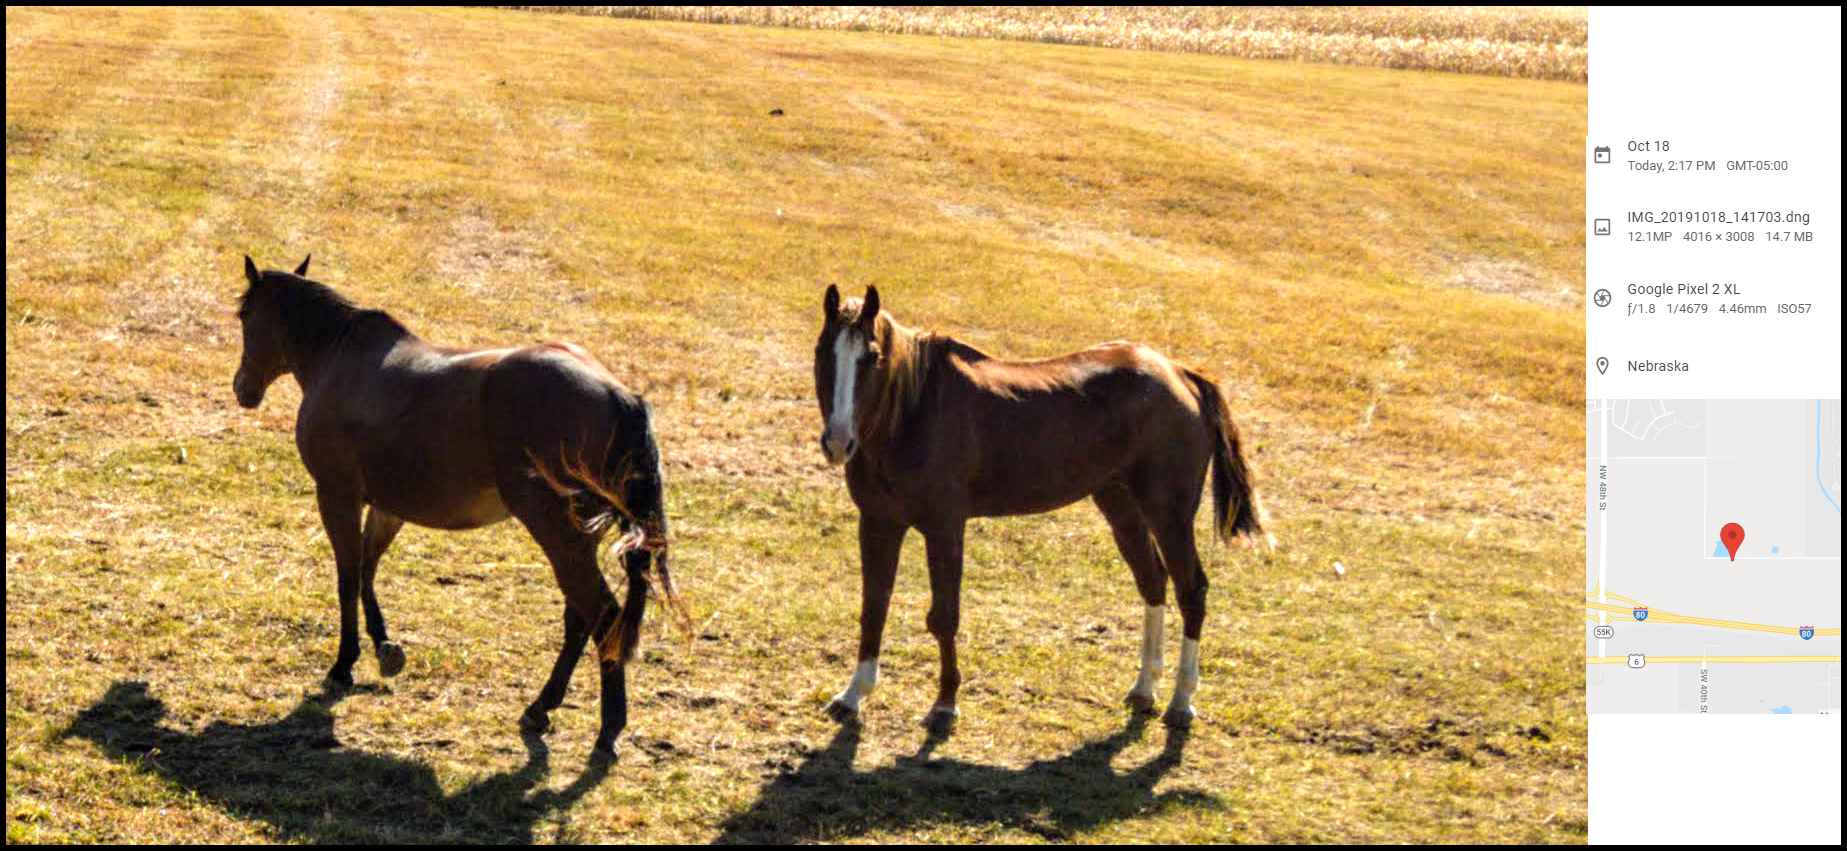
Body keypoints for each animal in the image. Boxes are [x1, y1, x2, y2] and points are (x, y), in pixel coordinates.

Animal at [229, 252, 676, 756]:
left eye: (244, 315)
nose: (242, 387)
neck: (340, 357)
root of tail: (619, 396)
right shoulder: (387, 506)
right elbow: (366, 569)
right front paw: (384, 646)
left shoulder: (337, 494)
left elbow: (346, 577)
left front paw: (344, 664)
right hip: (576, 541)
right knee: (579, 620)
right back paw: (541, 708)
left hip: (557, 534)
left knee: (603, 617)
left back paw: (607, 729)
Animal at [812, 284, 1263, 731]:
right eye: (822, 352)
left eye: (872, 357)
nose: (838, 442)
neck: (912, 412)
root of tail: (1182, 375)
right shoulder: (878, 523)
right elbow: (874, 607)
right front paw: (853, 695)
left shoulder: (945, 527)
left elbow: (944, 616)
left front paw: (944, 704)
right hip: (1121, 505)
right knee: (1153, 581)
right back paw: (1144, 689)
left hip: (1169, 513)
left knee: (1192, 589)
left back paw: (1181, 701)